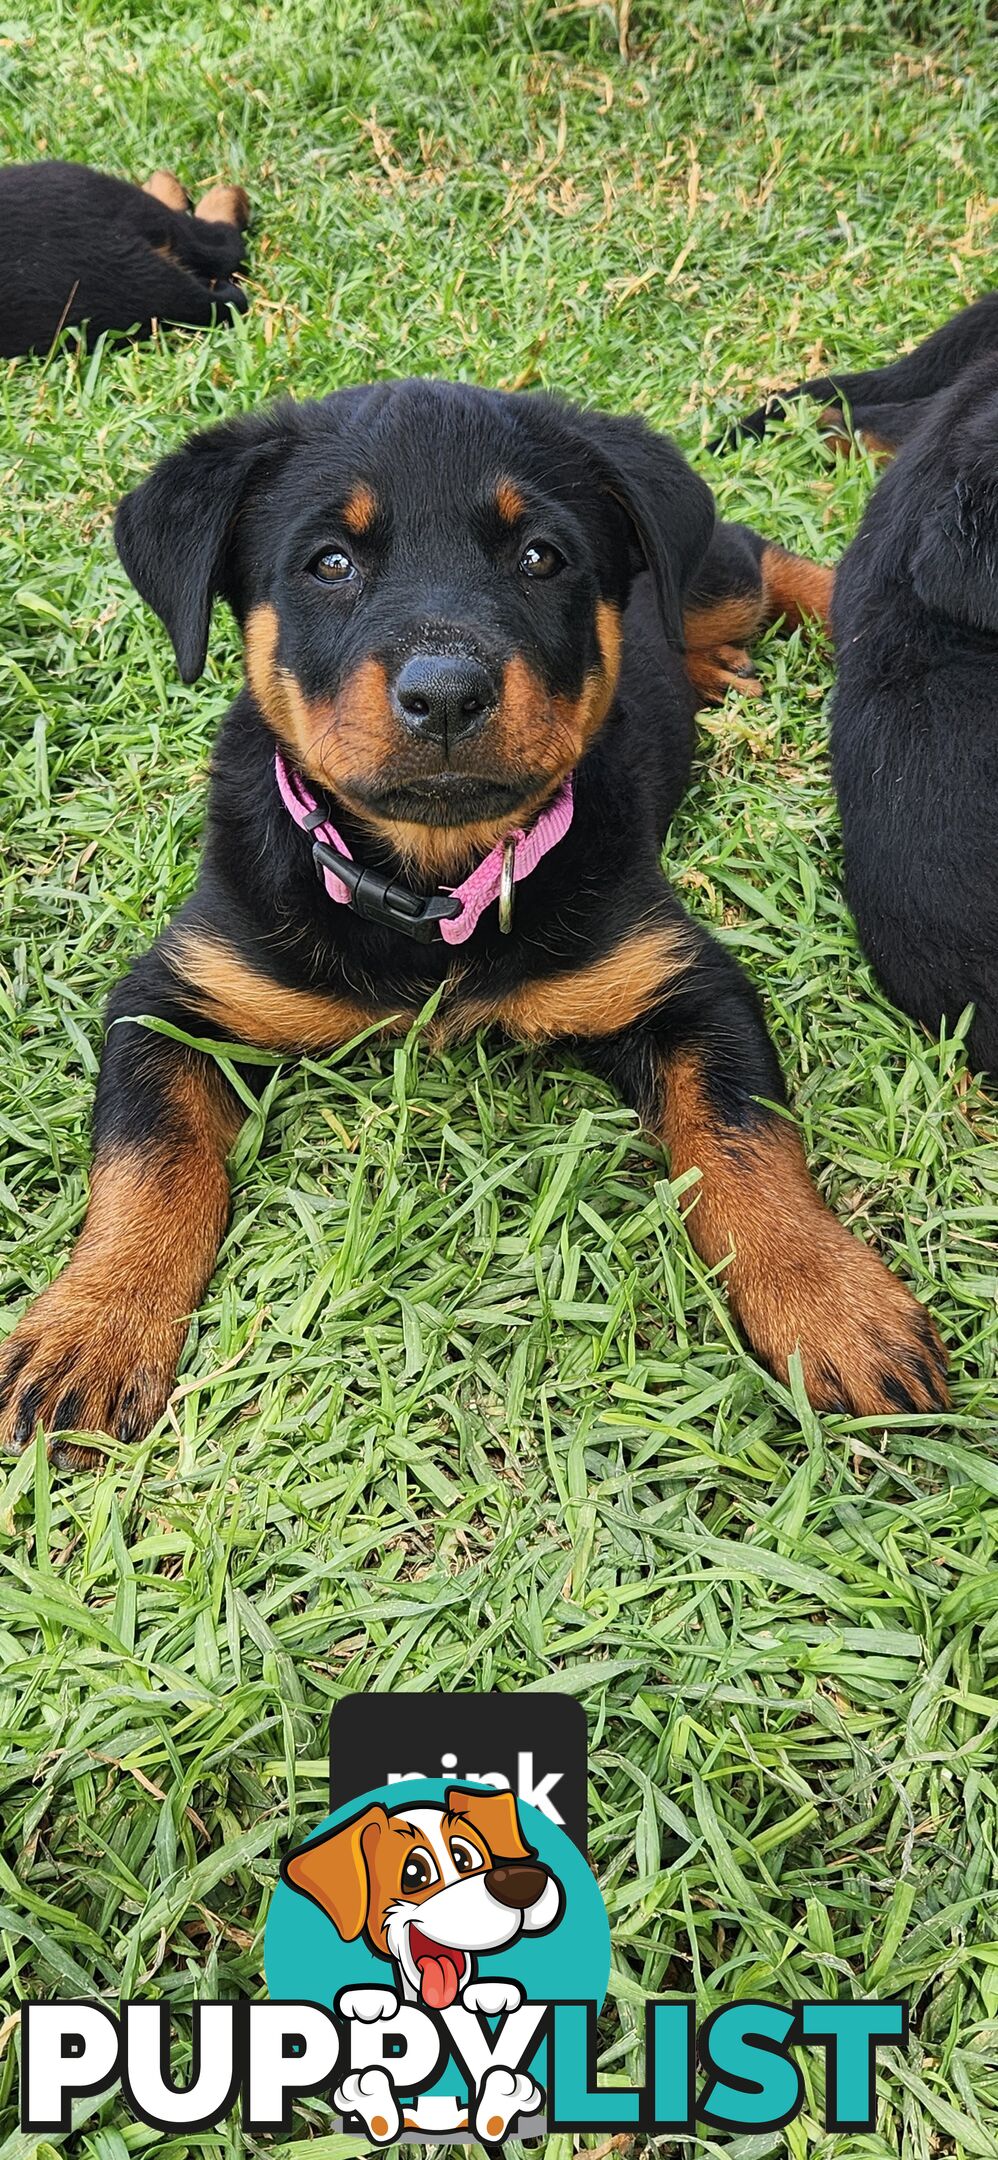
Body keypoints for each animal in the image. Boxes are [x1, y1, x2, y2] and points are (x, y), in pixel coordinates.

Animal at [0, 380, 946, 1460]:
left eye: (540, 556)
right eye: (329, 563)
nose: (446, 694)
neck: (432, 890)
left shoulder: (681, 978)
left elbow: (748, 1141)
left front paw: (832, 1301)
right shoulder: (173, 994)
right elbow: (144, 1161)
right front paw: (92, 1326)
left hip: (707, 572)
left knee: (766, 561)